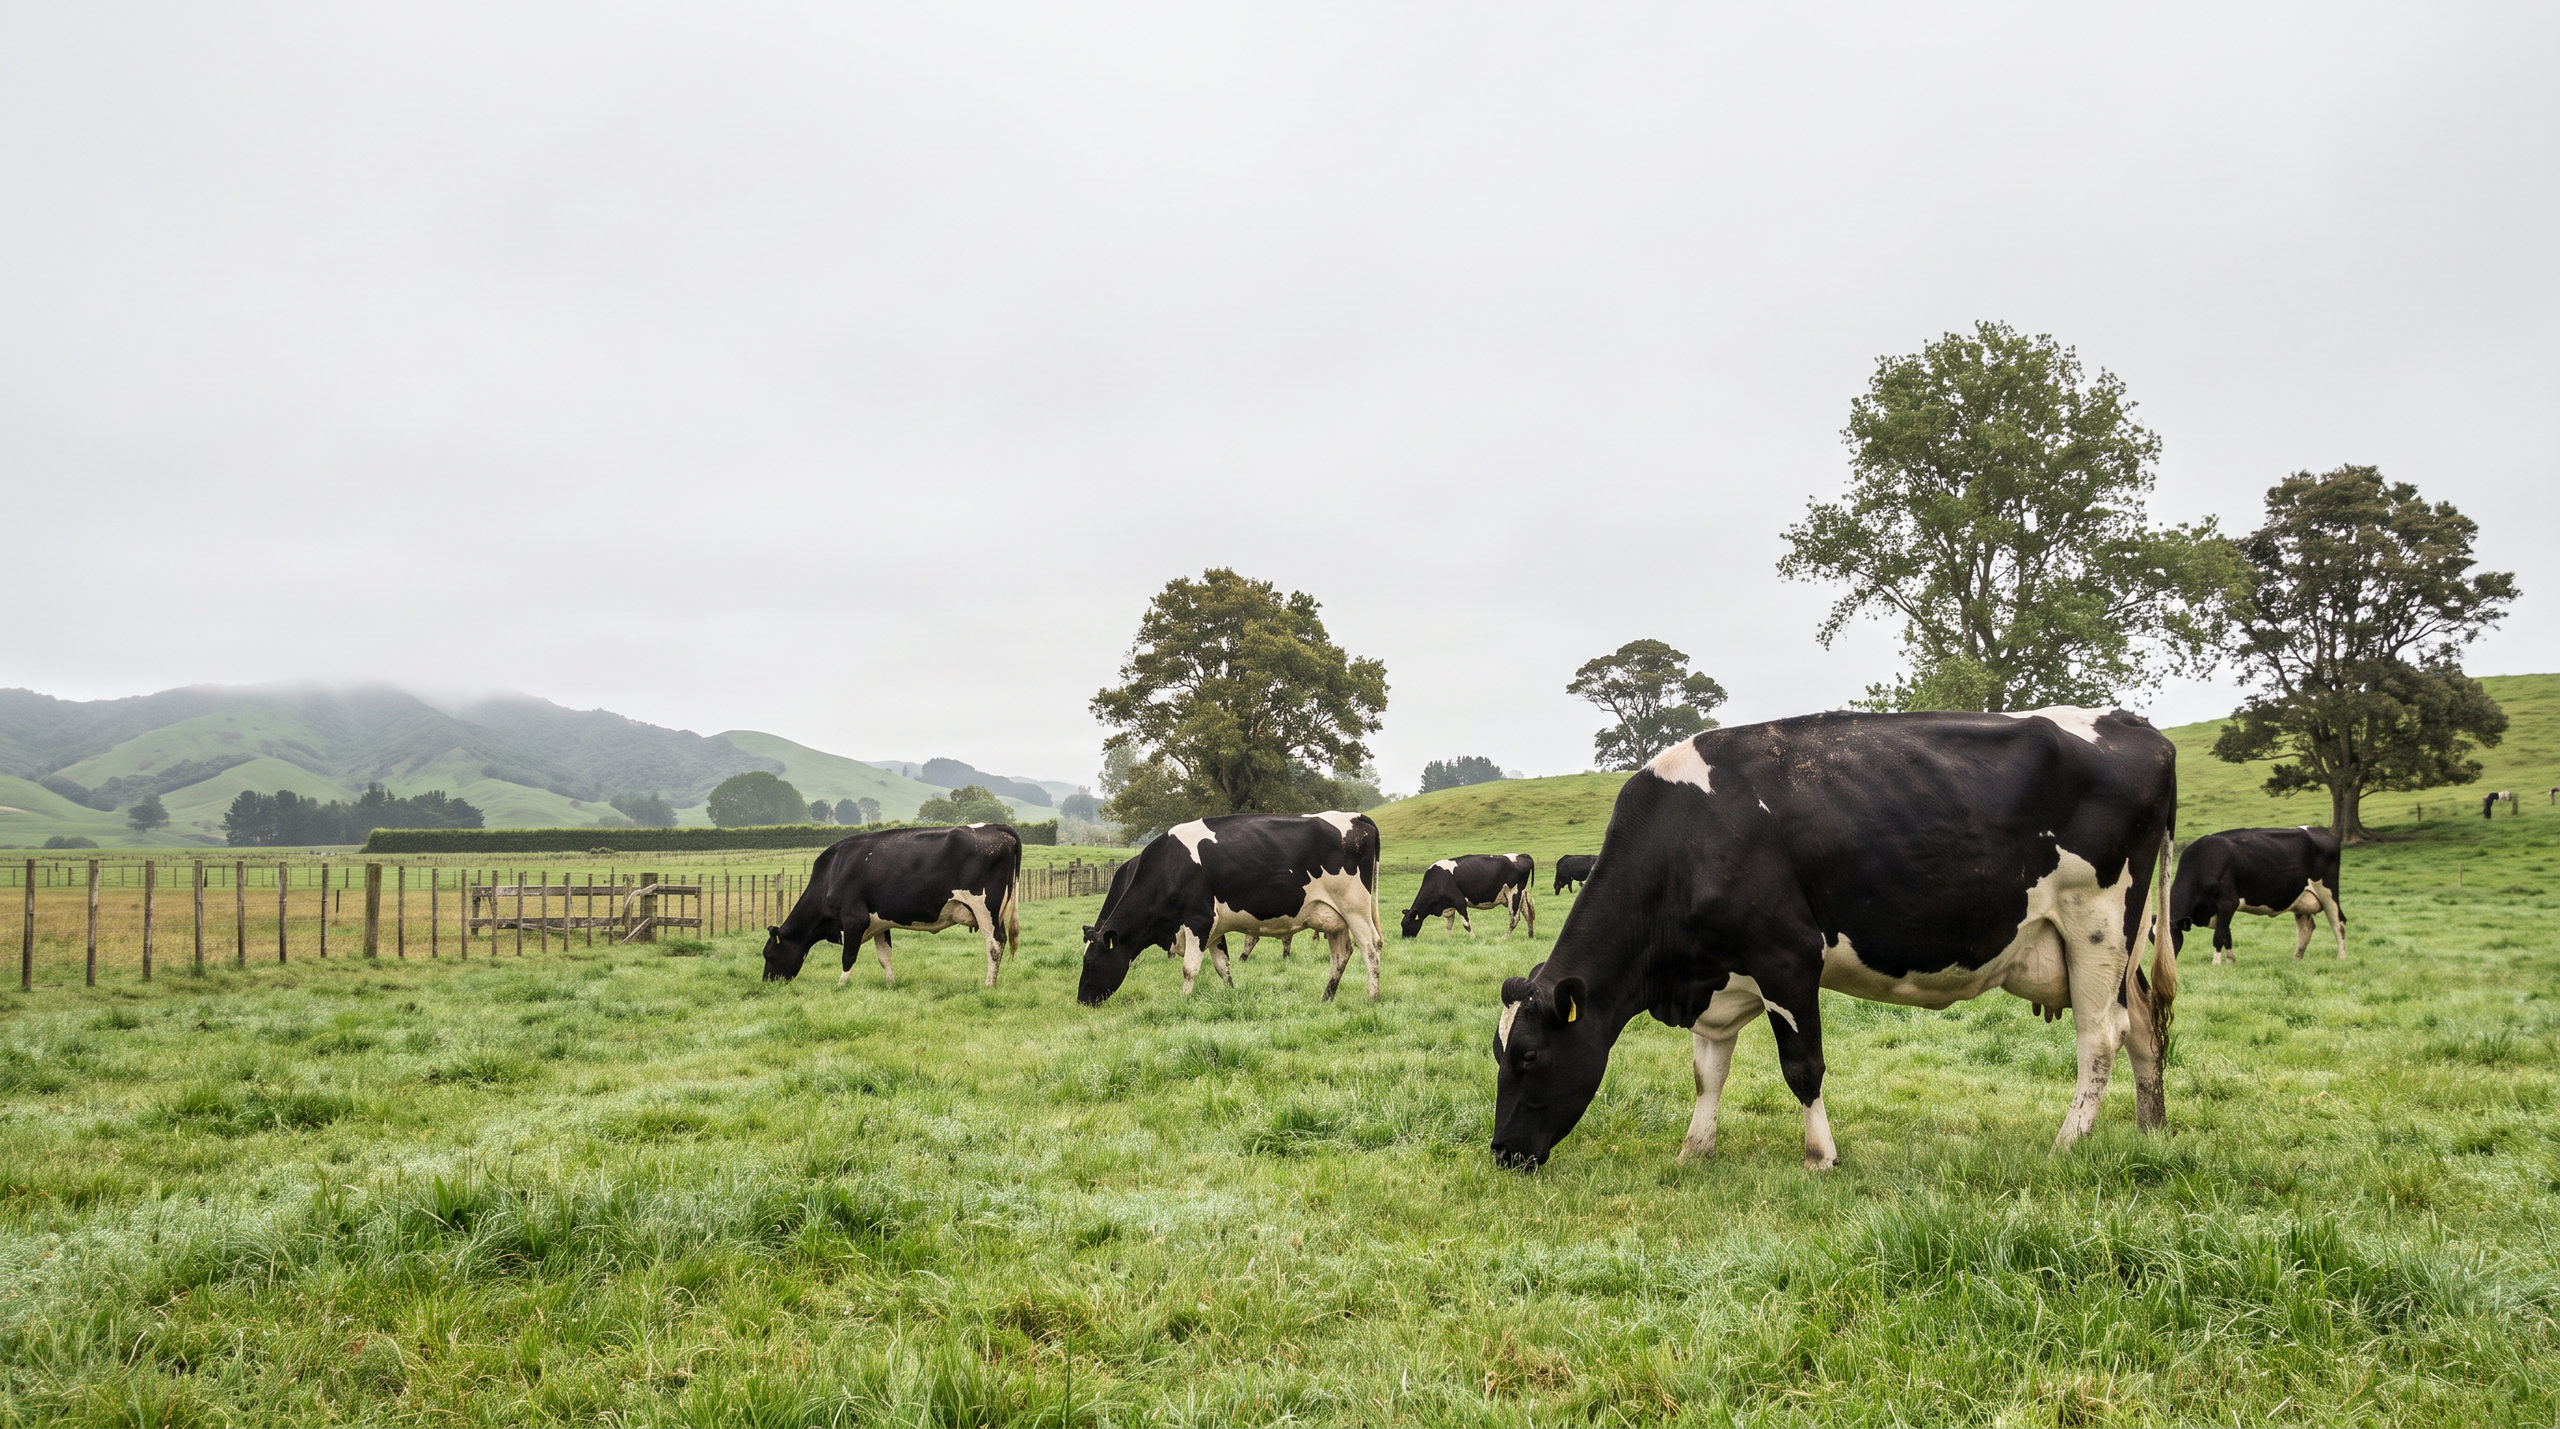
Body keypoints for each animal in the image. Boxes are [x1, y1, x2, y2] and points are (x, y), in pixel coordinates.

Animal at [760, 824, 1021, 988]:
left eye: (768, 954)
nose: (766, 984)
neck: (832, 873)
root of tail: (995, 826)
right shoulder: (879, 923)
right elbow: (884, 956)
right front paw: (891, 984)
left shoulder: (854, 919)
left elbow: (848, 956)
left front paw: (840, 984)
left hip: (985, 908)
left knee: (995, 944)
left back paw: (988, 984)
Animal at [1079, 812, 1383, 1005]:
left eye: (1090, 962)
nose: (1082, 1000)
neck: (1169, 867)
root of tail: (1358, 817)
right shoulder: (1214, 929)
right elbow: (1222, 966)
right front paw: (1232, 995)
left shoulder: (1198, 921)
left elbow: (1190, 968)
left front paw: (1183, 1002)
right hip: (1334, 917)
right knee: (1341, 955)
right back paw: (1326, 998)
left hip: (1355, 909)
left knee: (1370, 947)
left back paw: (1372, 997)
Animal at [1401, 854, 1537, 939]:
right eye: (1402, 924)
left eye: (1407, 924)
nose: (1405, 939)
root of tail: (1522, 855)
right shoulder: (1449, 906)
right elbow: (1449, 925)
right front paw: (1447, 939)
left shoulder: (1460, 902)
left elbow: (1466, 924)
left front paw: (1473, 938)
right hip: (1521, 895)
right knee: (1528, 915)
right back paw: (1530, 936)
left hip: (1513, 893)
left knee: (1514, 919)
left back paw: (1504, 938)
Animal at [1489, 707, 2177, 1173]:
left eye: (1528, 1056)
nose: (1502, 1153)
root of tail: (2140, 728)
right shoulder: (1720, 978)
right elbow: (1708, 1072)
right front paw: (1694, 1150)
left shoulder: (1787, 958)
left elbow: (1803, 1066)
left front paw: (1821, 1155)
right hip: (2121, 945)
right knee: (2146, 1024)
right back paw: (2152, 1131)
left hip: (2097, 924)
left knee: (2102, 1036)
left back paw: (2068, 1142)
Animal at [2167, 826, 2346, 964]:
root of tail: (2322, 830)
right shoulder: (2223, 909)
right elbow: (2226, 935)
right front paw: (2230, 961)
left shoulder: (2228, 902)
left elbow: (2219, 936)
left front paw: (2216, 964)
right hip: (2301, 900)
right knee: (2306, 929)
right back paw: (2296, 959)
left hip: (2328, 893)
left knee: (2339, 922)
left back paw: (2341, 958)